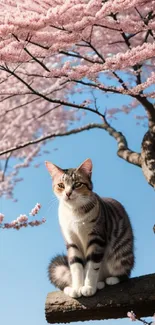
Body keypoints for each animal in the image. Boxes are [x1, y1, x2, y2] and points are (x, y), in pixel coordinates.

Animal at [45, 158, 134, 298]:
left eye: (77, 184)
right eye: (61, 185)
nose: (68, 193)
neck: (74, 212)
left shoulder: (97, 239)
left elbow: (92, 266)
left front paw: (88, 288)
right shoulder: (72, 241)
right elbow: (76, 267)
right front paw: (77, 288)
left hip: (121, 253)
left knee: (124, 273)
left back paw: (110, 280)